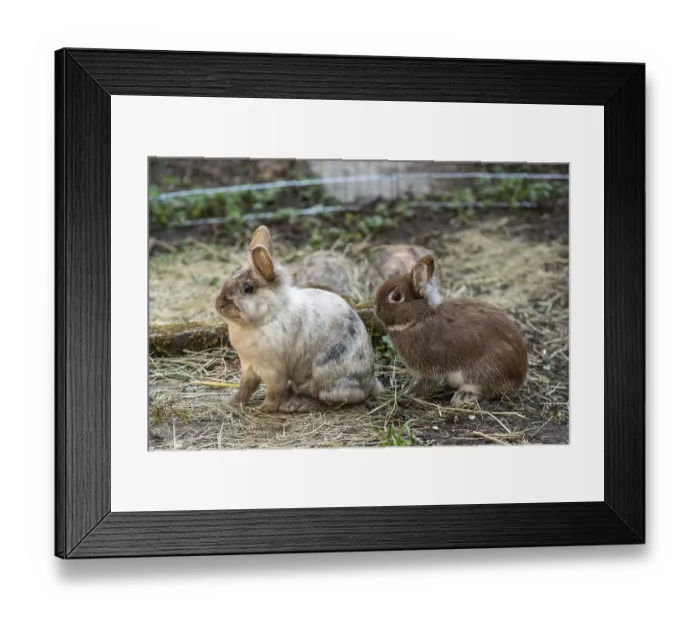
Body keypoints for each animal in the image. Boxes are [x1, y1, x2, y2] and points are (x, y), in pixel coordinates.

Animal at [215, 225, 383, 413]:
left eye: (248, 288)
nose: (219, 304)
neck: (269, 316)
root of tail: (369, 383)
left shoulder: (274, 371)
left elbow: (273, 391)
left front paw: (265, 408)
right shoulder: (249, 367)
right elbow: (246, 388)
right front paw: (231, 401)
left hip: (326, 379)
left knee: (330, 401)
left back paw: (295, 404)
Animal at [374, 255, 527, 405]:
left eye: (396, 296)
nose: (375, 308)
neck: (420, 318)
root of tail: (519, 376)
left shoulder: (429, 367)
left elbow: (427, 382)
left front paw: (411, 393)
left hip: (484, 369)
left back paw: (463, 396)